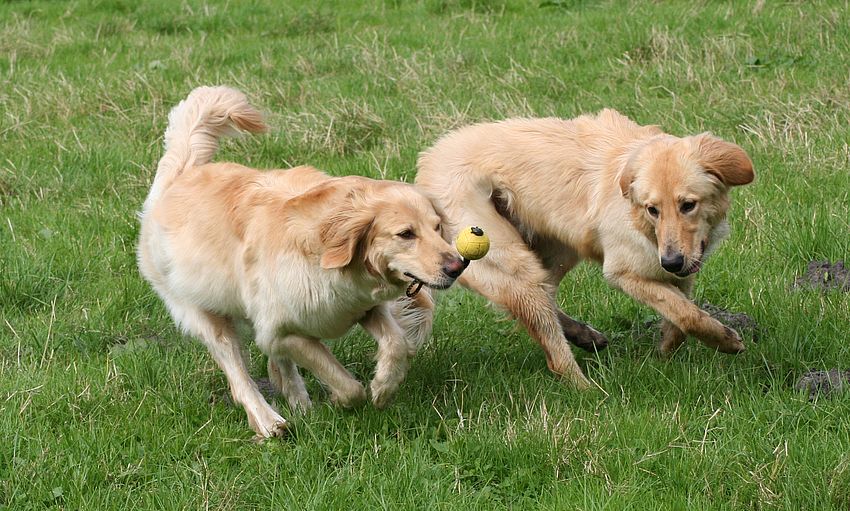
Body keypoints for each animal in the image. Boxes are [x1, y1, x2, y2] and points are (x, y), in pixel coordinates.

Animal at [137, 86, 465, 438]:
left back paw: (297, 400)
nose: (457, 267)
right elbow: (344, 382)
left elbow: (397, 344)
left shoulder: (364, 308)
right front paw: (341, 399)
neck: (325, 254)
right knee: (240, 377)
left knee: (279, 364)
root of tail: (180, 175)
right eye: (406, 234)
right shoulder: (282, 332)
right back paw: (270, 422)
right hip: (205, 316)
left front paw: (383, 388)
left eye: (437, 227)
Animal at [414, 109, 754, 388]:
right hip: (511, 262)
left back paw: (584, 335)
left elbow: (680, 314)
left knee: (544, 298)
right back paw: (589, 392)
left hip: (558, 248)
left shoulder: (683, 266)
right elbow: (686, 313)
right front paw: (726, 341)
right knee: (554, 351)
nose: (670, 261)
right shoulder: (623, 272)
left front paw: (666, 353)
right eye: (653, 209)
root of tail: (427, 163)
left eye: (688, 205)